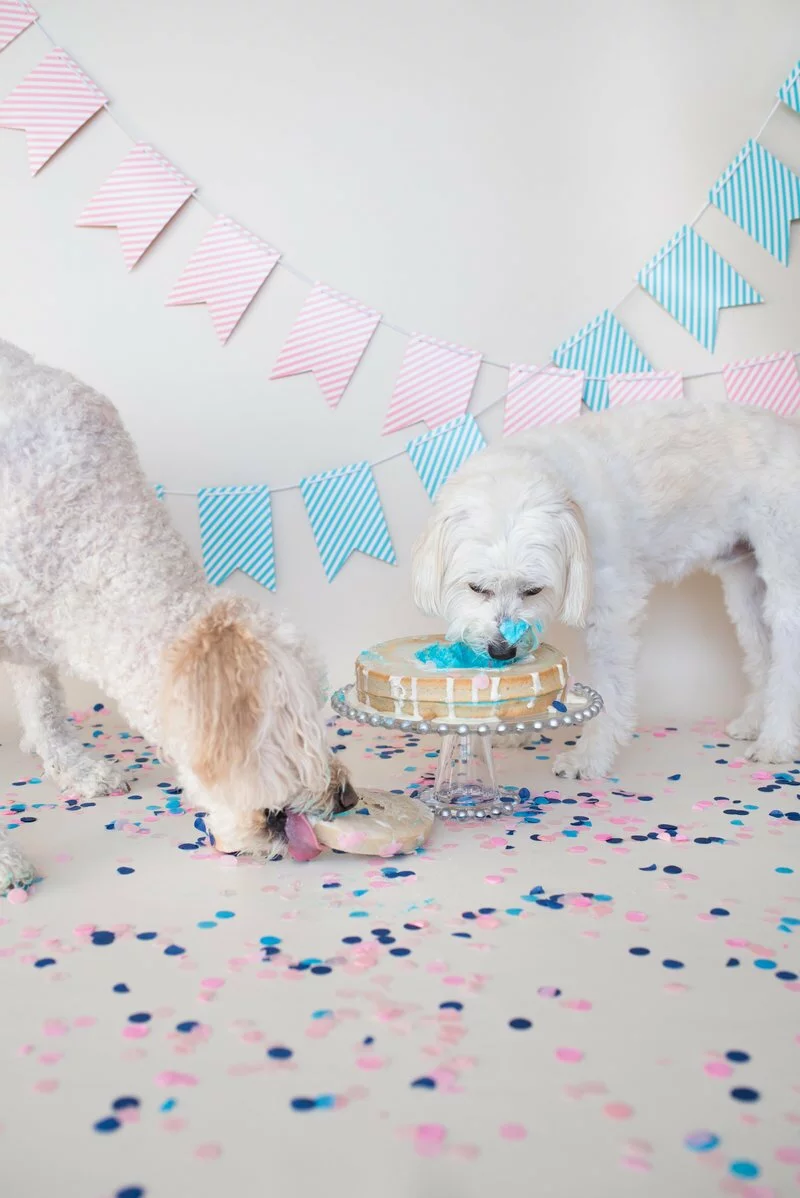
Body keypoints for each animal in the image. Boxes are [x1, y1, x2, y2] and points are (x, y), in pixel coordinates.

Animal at [411, 397, 800, 781]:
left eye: (533, 590)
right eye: (476, 587)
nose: (501, 651)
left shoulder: (614, 608)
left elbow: (611, 686)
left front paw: (590, 756)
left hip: (785, 570)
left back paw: (776, 742)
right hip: (746, 585)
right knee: (764, 652)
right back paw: (755, 722)